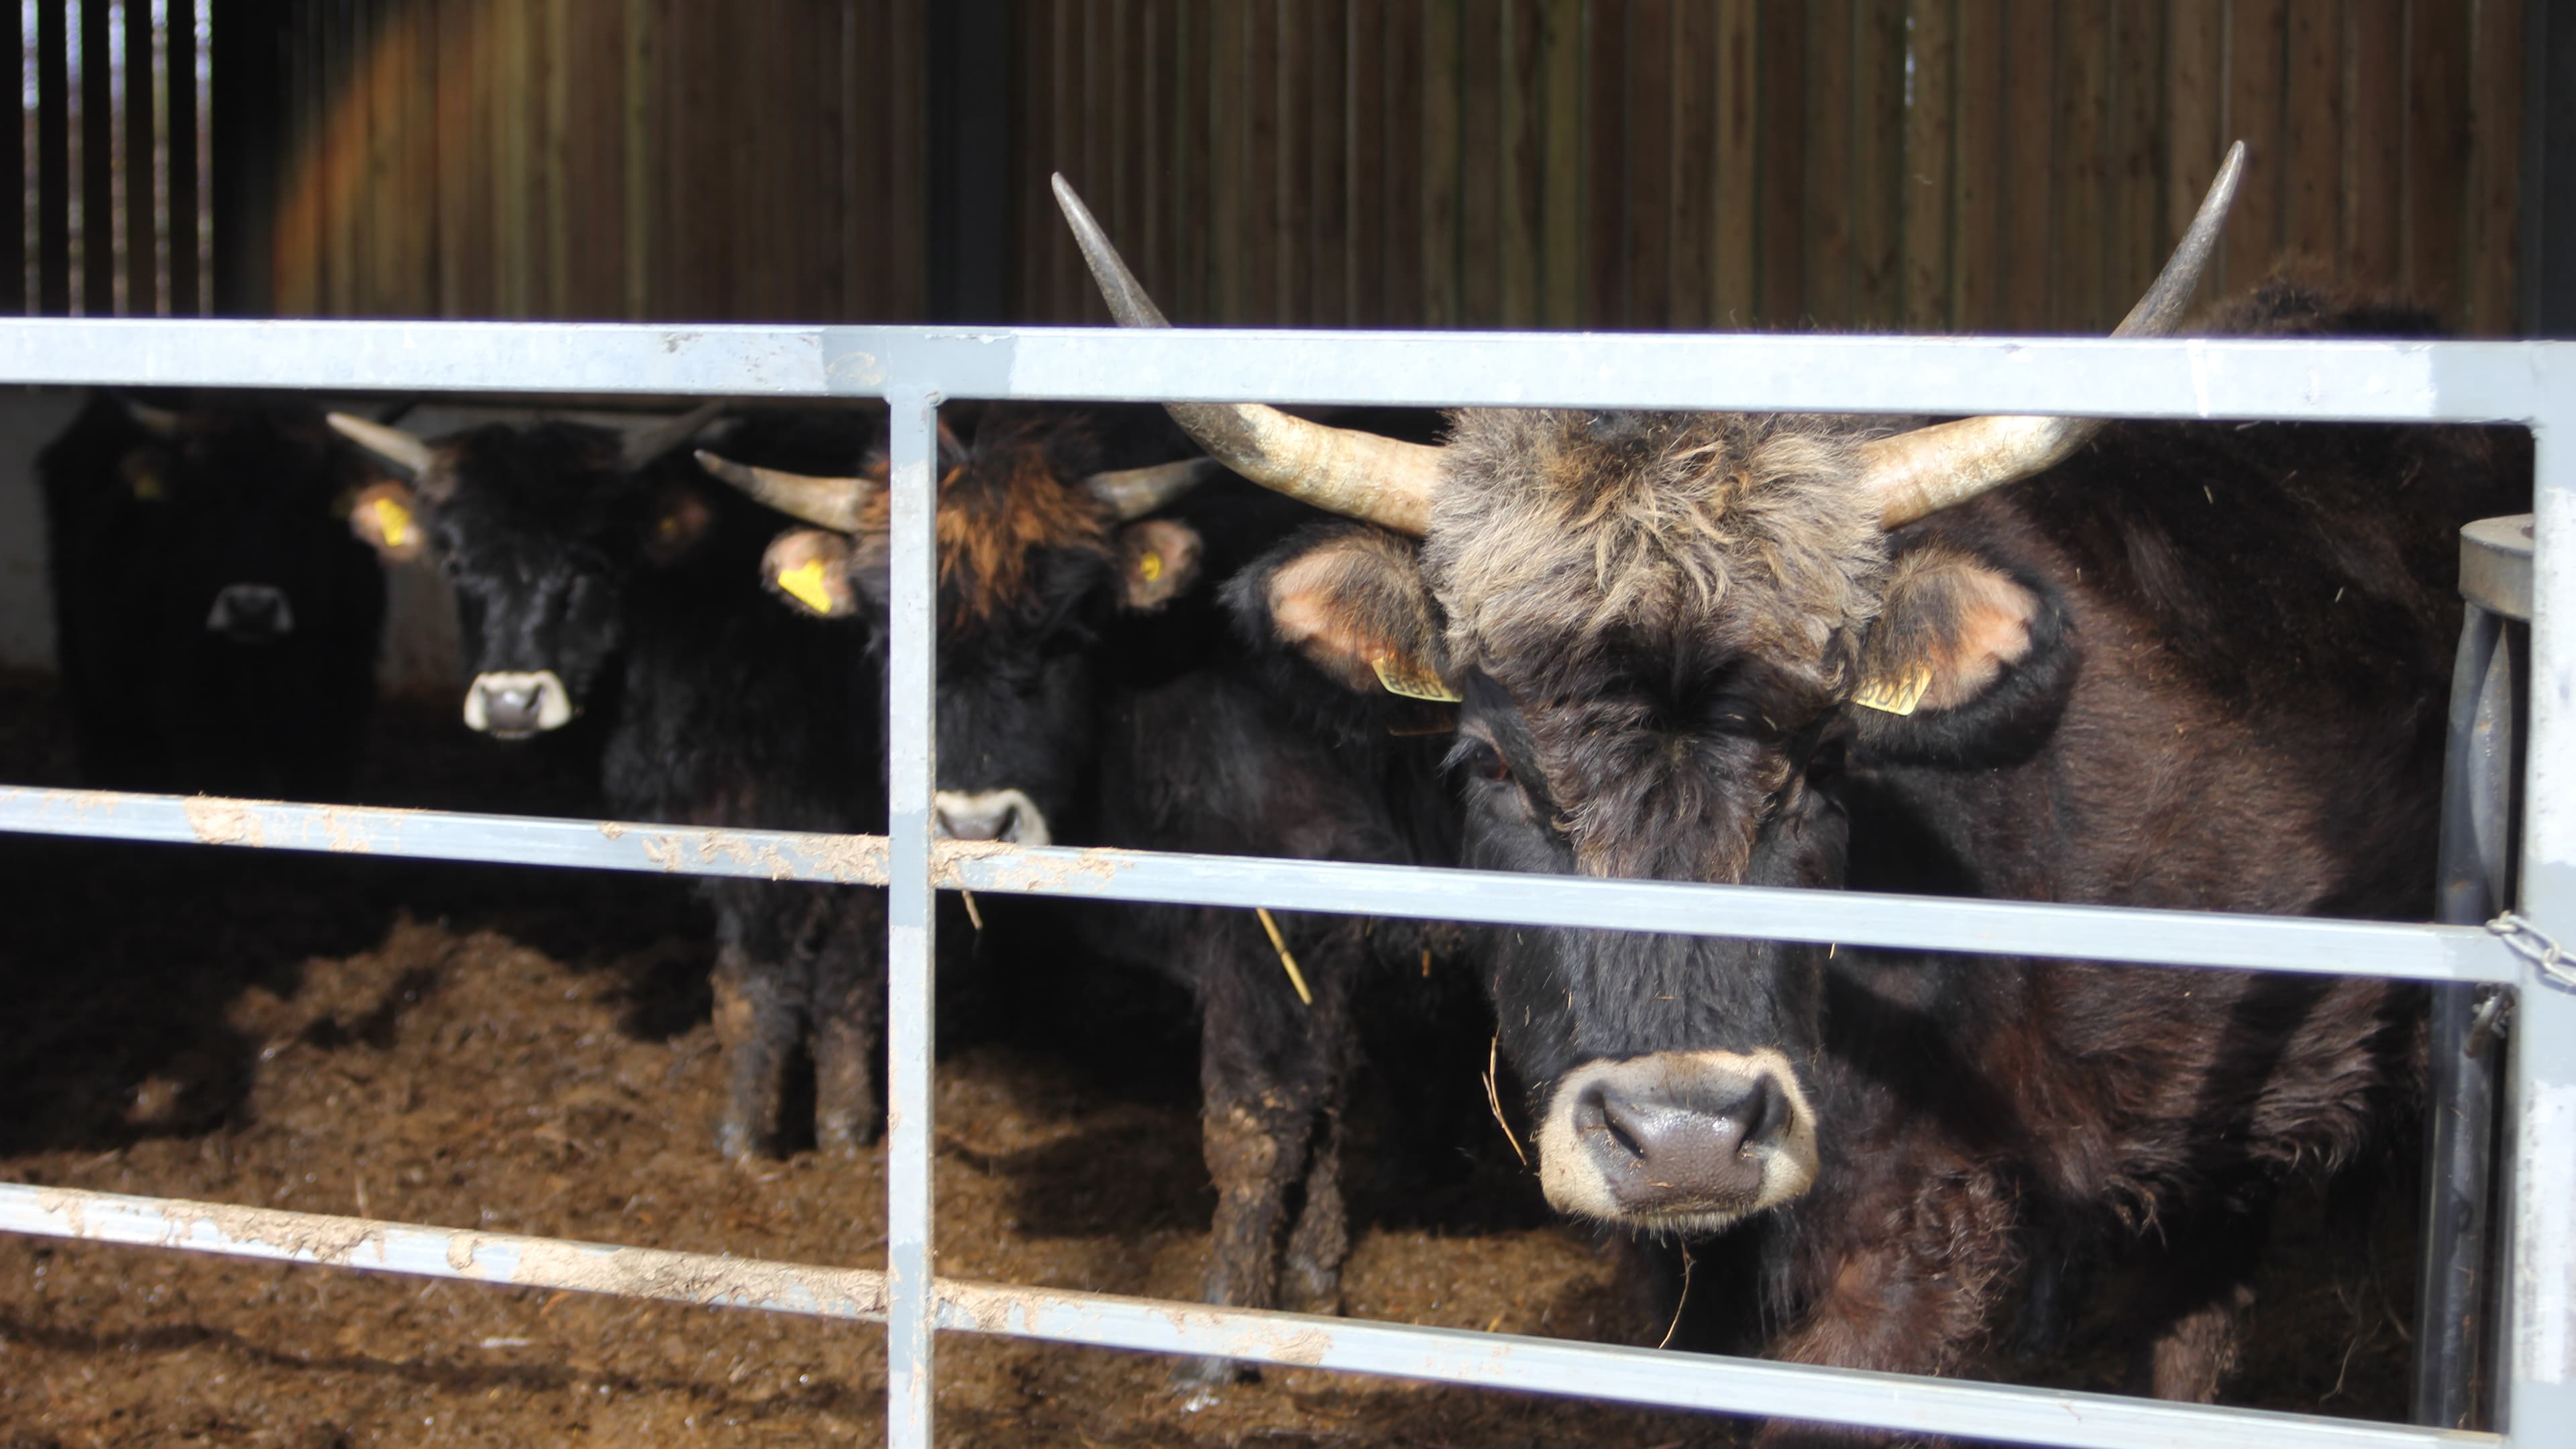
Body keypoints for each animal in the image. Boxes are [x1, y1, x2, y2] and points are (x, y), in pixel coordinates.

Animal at [327, 405, 891, 1161]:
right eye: (455, 563)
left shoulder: (770, 824)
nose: (511, 703)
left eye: (588, 564)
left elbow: (756, 985)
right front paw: (846, 1130)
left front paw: (742, 1139)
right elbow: (851, 982)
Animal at [698, 404, 1470, 1386]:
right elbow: (1325, 1108)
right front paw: (1313, 1282)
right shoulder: (1326, 958)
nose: (975, 822)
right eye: (885, 632)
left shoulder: (1273, 941)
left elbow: (1252, 1126)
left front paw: (1219, 1342)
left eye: (1066, 628)